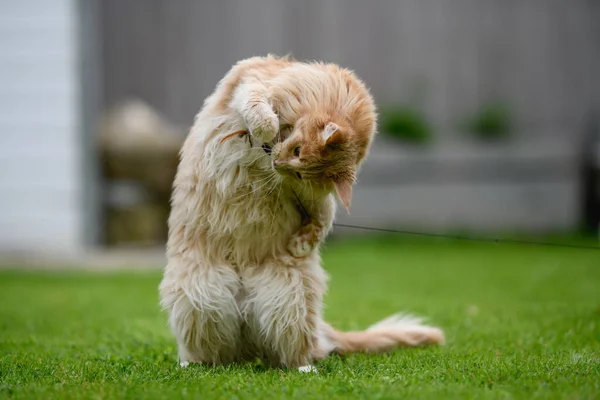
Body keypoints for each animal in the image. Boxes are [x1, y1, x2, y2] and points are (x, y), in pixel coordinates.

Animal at [157, 54, 442, 372]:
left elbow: (322, 221)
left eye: (301, 174)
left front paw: (300, 245)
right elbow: (256, 106)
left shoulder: (314, 198)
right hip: (201, 298)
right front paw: (265, 126)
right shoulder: (250, 82)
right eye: (296, 151)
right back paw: (193, 366)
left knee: (294, 352)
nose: (278, 163)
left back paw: (304, 369)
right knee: (213, 353)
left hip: (289, 300)